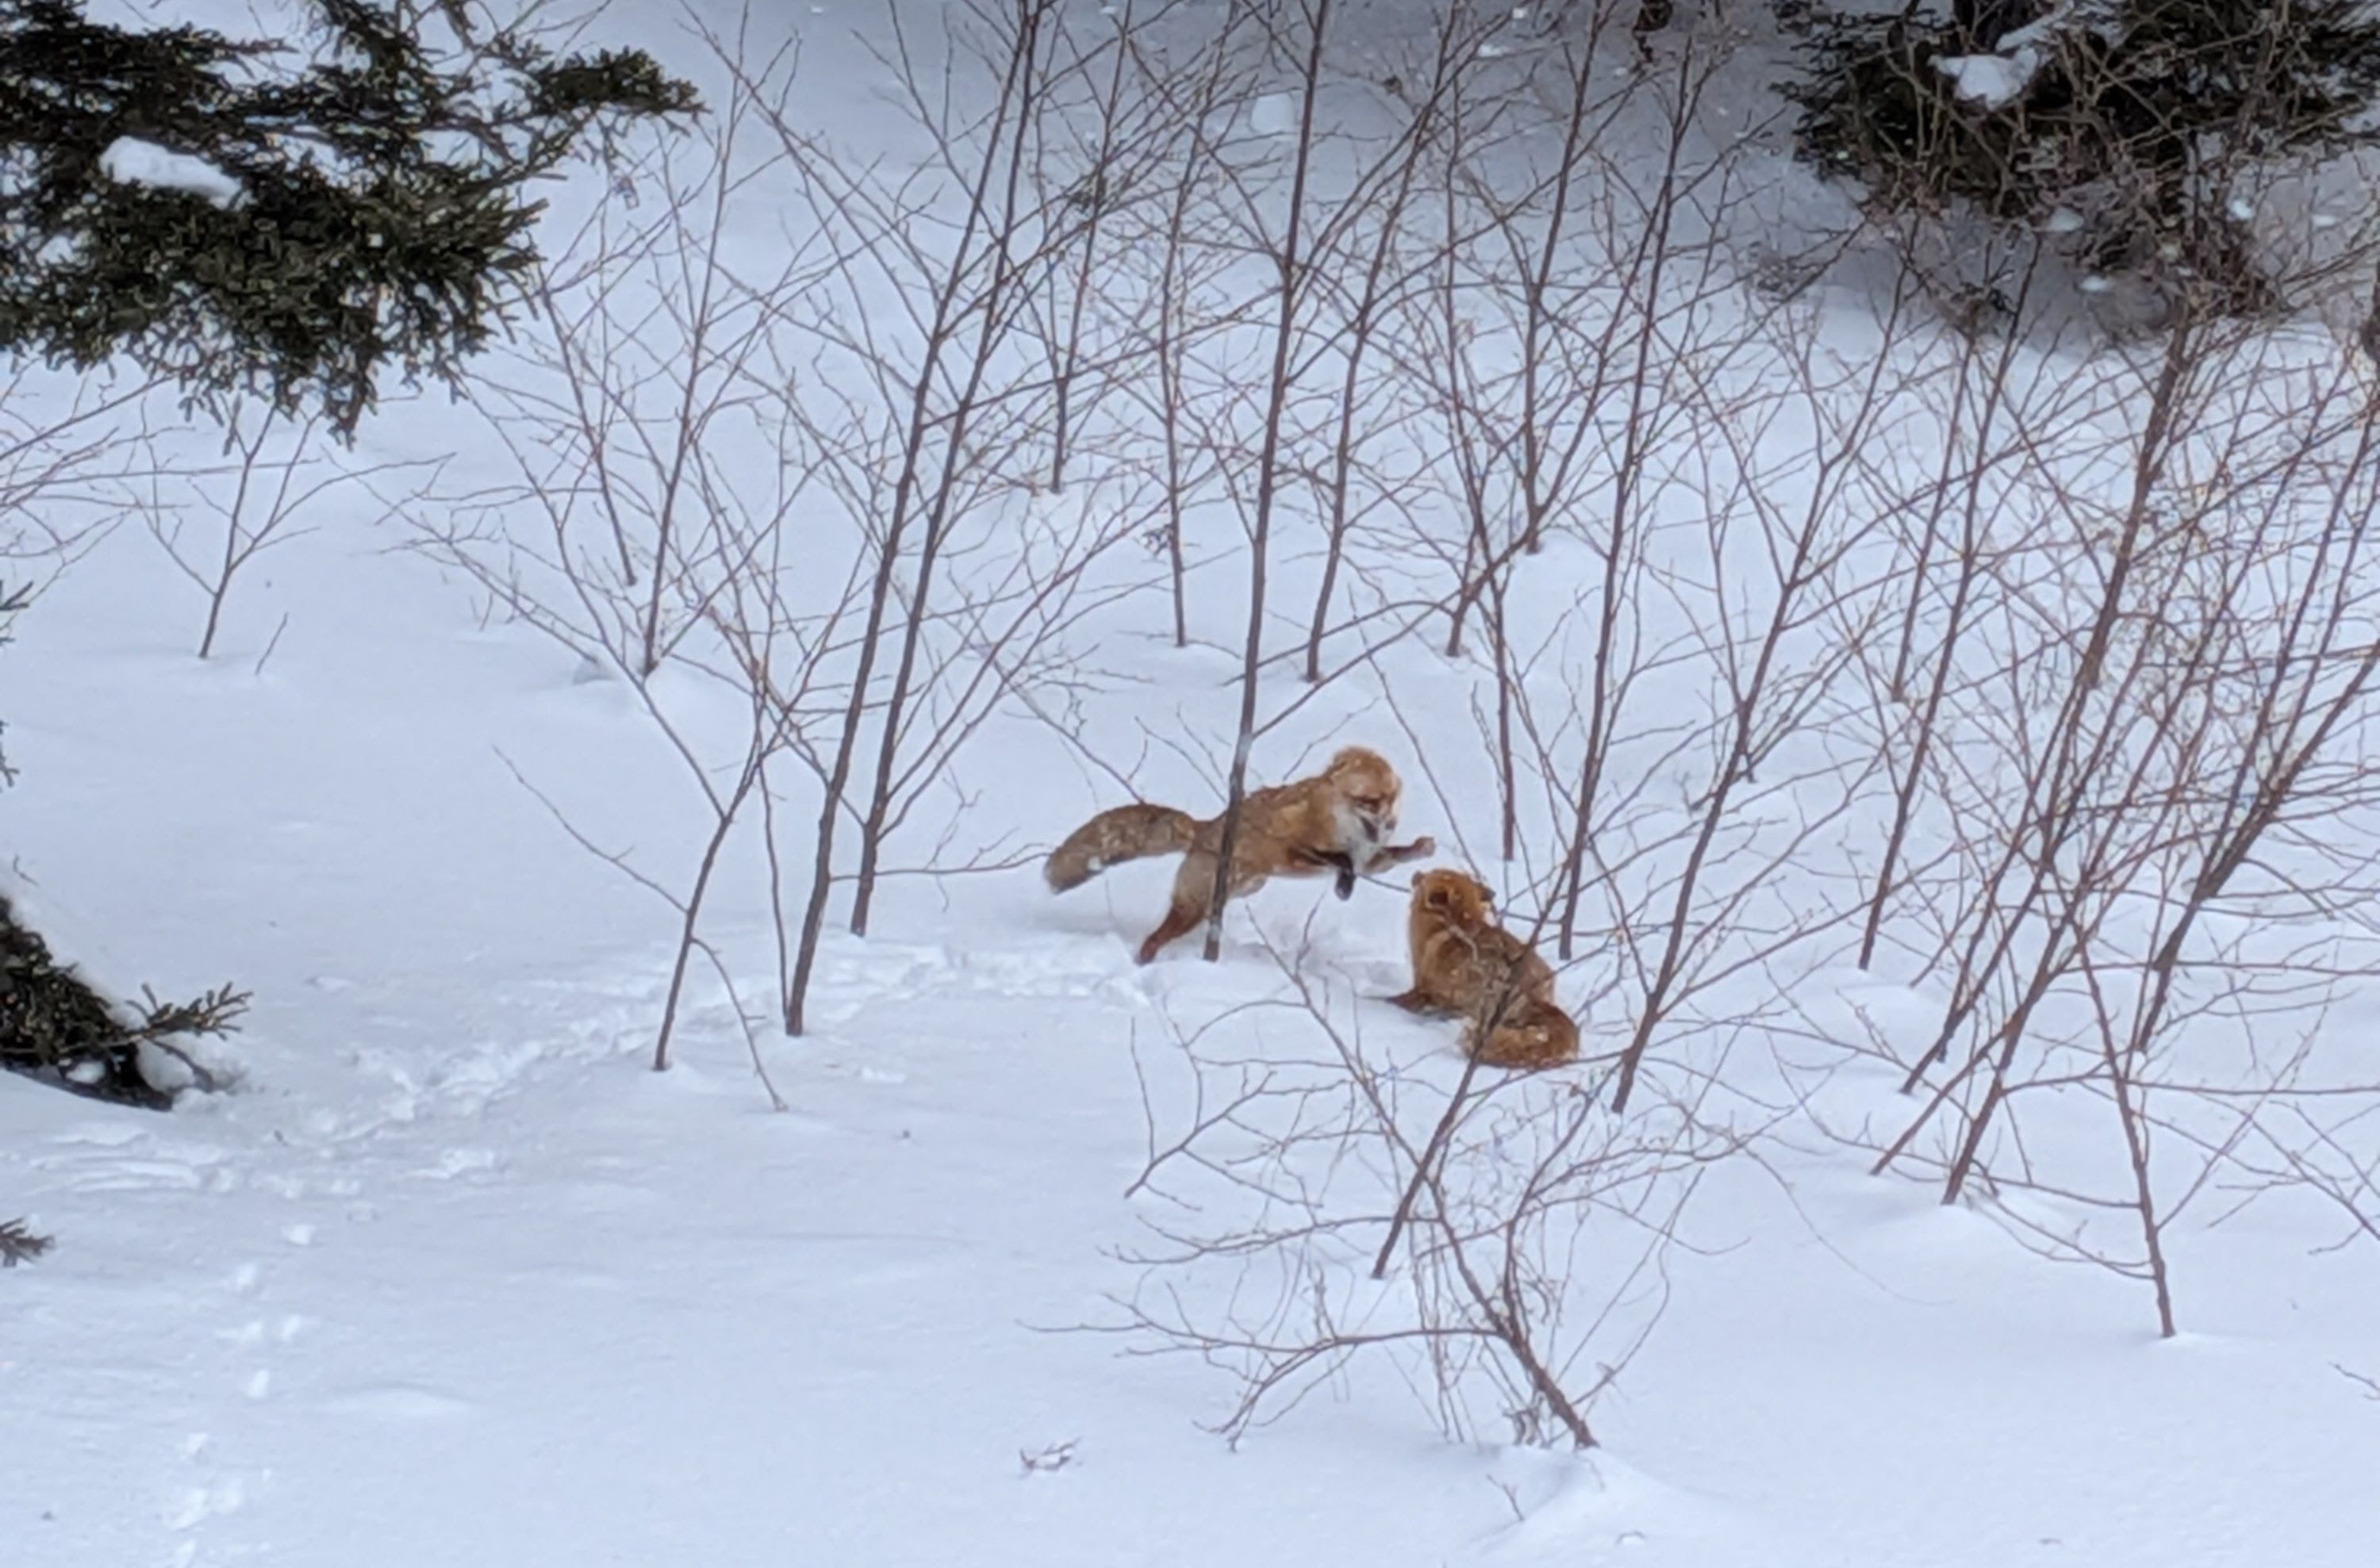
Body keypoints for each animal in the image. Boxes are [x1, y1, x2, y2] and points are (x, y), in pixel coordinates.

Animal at [1045, 745, 1436, 965]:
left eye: (1391, 799)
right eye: (1370, 801)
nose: (1390, 823)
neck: (1343, 829)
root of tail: (1204, 828)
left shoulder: (1369, 858)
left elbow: (1383, 858)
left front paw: (1420, 847)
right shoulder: (1290, 850)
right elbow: (1340, 862)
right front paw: (1343, 887)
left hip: (1244, 888)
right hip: (1195, 908)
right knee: (1155, 938)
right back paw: (1145, 962)